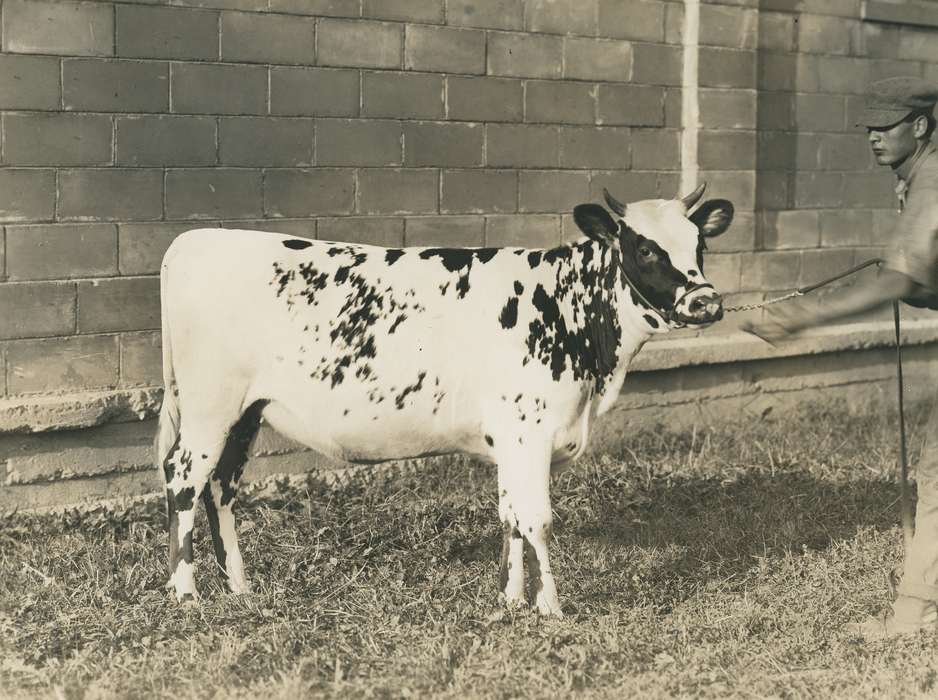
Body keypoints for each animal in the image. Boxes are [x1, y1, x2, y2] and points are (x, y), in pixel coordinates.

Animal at [157, 183, 733, 615]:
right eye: (645, 248)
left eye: (700, 247)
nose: (705, 302)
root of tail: (196, 240)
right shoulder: (529, 430)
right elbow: (537, 518)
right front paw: (551, 606)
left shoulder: (511, 438)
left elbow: (510, 515)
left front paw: (511, 599)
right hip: (211, 406)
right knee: (184, 480)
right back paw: (186, 592)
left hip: (245, 414)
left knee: (221, 488)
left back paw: (239, 586)